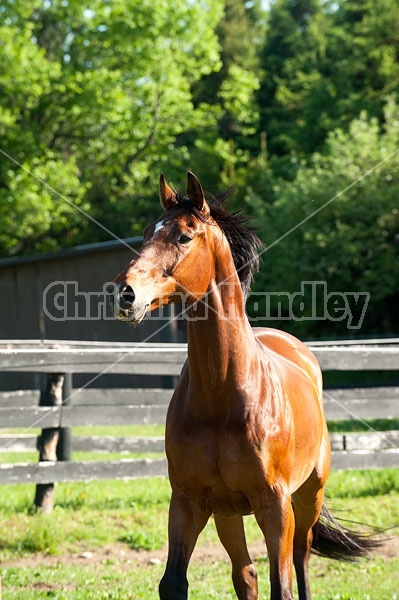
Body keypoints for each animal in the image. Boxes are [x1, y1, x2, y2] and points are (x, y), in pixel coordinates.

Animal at [111, 171, 376, 596]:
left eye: (184, 237)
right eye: (146, 234)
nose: (125, 293)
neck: (222, 398)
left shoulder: (275, 506)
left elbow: (281, 586)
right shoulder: (187, 501)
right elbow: (174, 582)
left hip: (308, 496)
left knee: (301, 559)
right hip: (227, 512)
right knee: (245, 574)